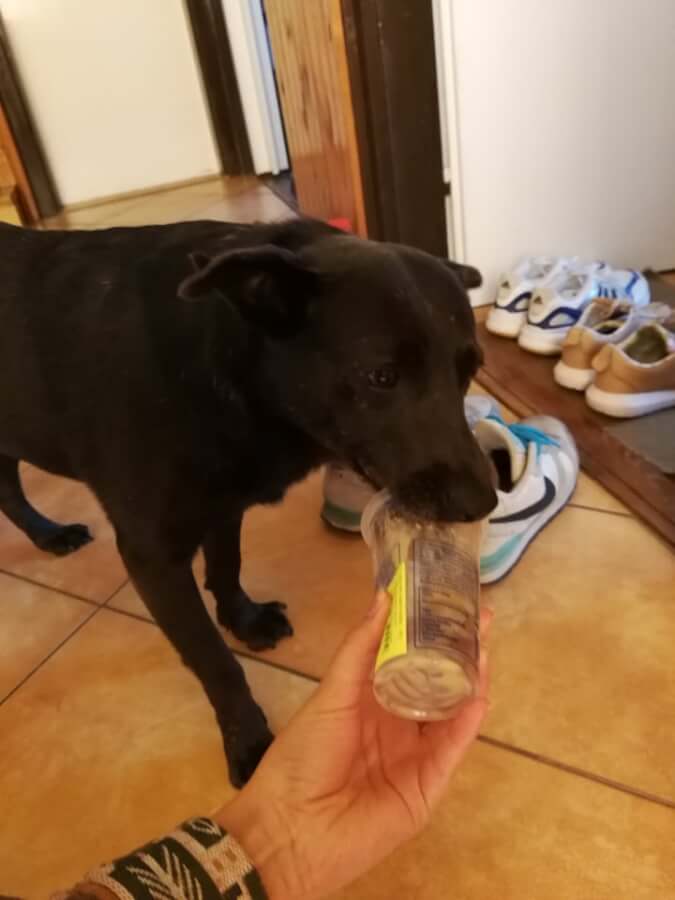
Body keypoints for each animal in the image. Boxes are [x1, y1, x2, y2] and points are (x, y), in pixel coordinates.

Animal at [0, 217, 496, 785]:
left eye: (469, 370)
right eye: (381, 376)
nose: (483, 502)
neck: (222, 360)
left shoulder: (224, 502)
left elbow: (227, 564)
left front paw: (243, 619)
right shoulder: (152, 556)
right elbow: (216, 662)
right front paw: (250, 741)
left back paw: (47, 534)